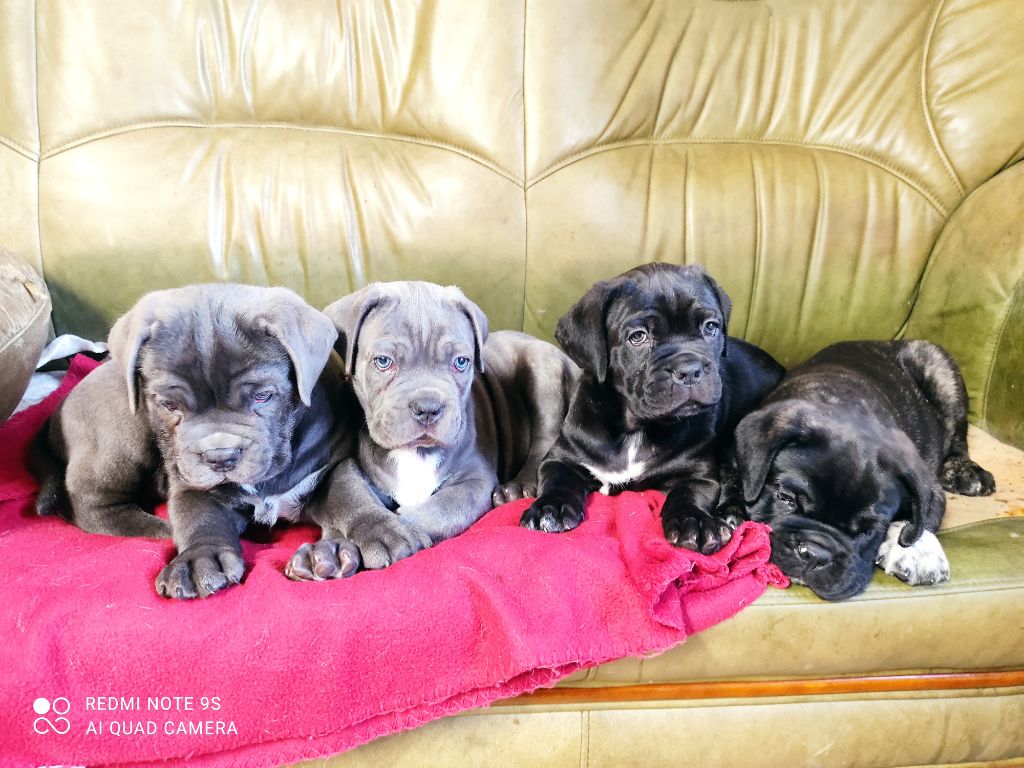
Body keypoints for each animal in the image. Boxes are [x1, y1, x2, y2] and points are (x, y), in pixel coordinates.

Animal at [284, 280, 581, 581]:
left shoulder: (473, 481)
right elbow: (350, 500)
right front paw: (329, 549)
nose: (428, 407)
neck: (415, 452)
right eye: (383, 361)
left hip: (542, 370)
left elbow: (438, 510)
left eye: (461, 362)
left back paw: (517, 488)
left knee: (544, 440)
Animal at [520, 264, 782, 552]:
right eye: (638, 337)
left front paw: (694, 522)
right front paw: (550, 508)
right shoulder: (561, 457)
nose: (689, 370)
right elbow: (558, 479)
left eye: (711, 327)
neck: (637, 429)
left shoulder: (699, 476)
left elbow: (687, 494)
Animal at [729, 342, 999, 602]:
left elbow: (922, 514)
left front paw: (917, 550)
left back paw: (965, 472)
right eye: (785, 498)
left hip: (940, 370)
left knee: (958, 435)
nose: (815, 553)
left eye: (868, 530)